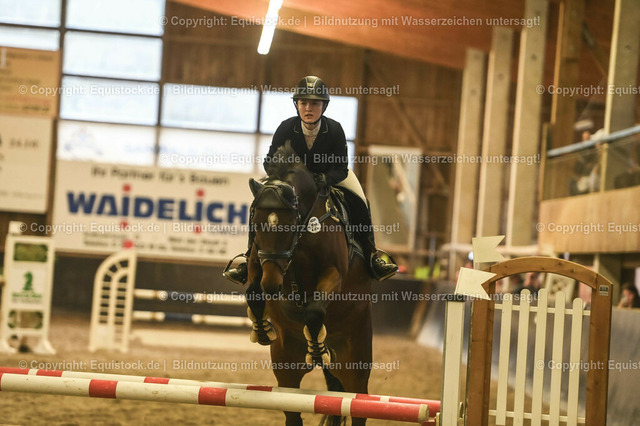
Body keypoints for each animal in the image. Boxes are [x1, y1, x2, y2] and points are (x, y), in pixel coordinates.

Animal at [245, 142, 373, 426]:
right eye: (255, 222)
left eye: (288, 225)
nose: (272, 286)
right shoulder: (258, 261)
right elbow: (252, 293)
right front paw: (262, 329)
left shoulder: (334, 272)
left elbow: (314, 310)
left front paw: (316, 349)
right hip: (286, 368)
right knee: (293, 412)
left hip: (355, 365)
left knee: (358, 404)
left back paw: (319, 350)